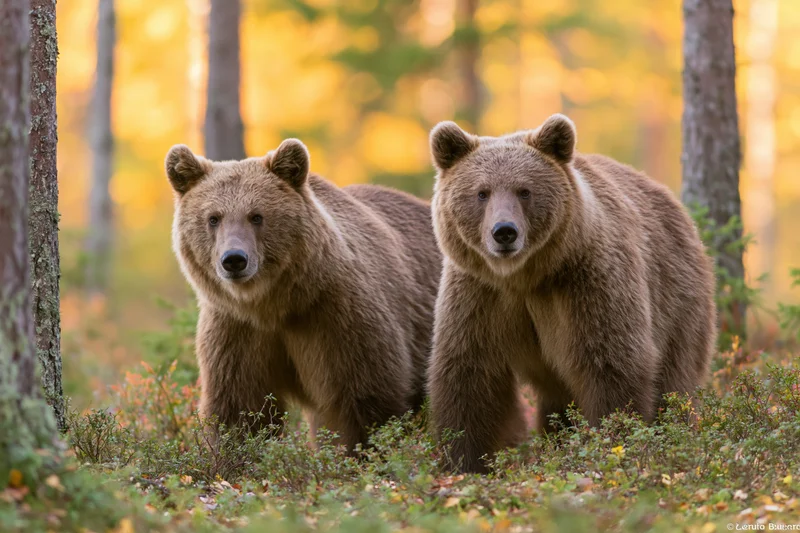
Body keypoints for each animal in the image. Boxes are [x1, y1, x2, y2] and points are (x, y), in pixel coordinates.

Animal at [164, 139, 442, 451]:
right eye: (213, 218)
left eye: (256, 216)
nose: (234, 259)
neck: (274, 305)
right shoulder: (237, 330)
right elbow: (239, 411)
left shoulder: (337, 318)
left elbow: (366, 402)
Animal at [426, 114, 716, 473]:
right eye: (482, 192)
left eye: (525, 191)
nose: (504, 232)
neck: (524, 277)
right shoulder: (480, 294)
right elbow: (469, 373)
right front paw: (464, 461)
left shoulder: (584, 283)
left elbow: (611, 362)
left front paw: (612, 443)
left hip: (678, 300)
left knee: (675, 379)